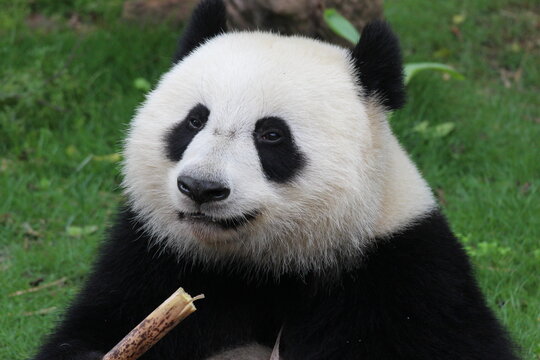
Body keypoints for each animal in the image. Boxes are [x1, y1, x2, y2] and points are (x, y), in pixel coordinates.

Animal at [32, 0, 520, 360]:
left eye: (271, 135)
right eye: (194, 121)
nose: (202, 189)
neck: (266, 265)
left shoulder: (405, 276)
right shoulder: (151, 256)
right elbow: (90, 330)